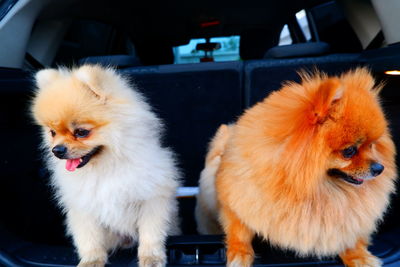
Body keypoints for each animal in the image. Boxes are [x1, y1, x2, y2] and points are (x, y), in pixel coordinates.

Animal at [31, 65, 180, 267]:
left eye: (81, 132)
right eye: (52, 132)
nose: (57, 150)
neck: (105, 168)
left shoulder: (152, 199)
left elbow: (151, 233)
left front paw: (151, 257)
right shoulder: (84, 206)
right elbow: (89, 238)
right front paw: (92, 260)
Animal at [196, 69, 396, 267]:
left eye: (372, 145)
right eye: (349, 151)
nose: (379, 168)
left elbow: (347, 237)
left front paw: (358, 256)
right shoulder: (239, 202)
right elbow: (239, 231)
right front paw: (239, 253)